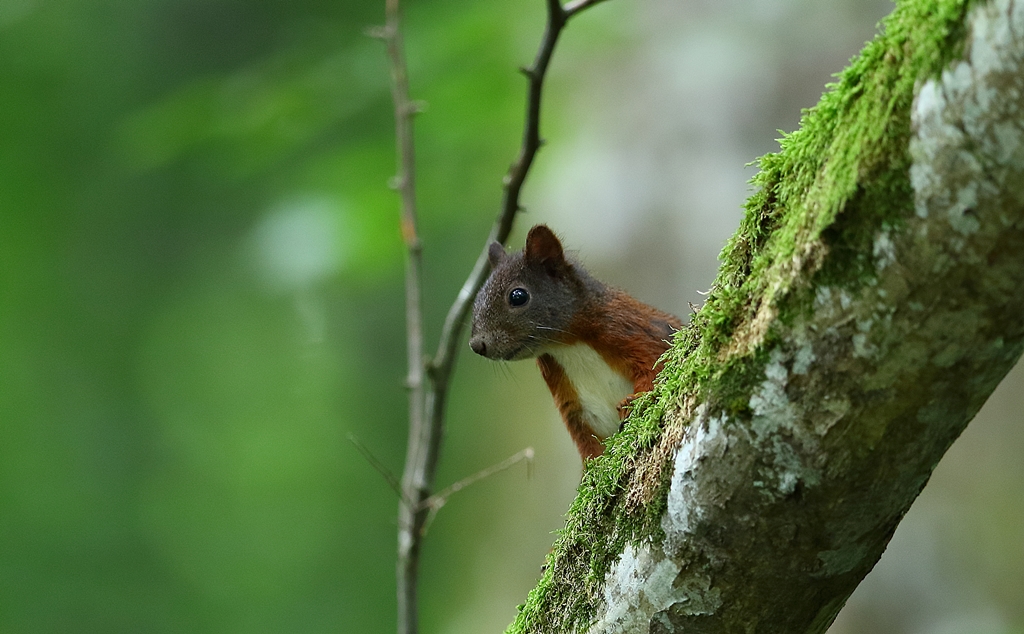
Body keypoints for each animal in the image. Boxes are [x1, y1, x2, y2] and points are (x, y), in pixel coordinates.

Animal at [468, 224, 679, 460]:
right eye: (477, 299)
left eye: (518, 296)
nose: (477, 345)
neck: (568, 346)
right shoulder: (572, 403)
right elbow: (587, 442)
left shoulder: (632, 330)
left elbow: (654, 366)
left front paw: (631, 401)